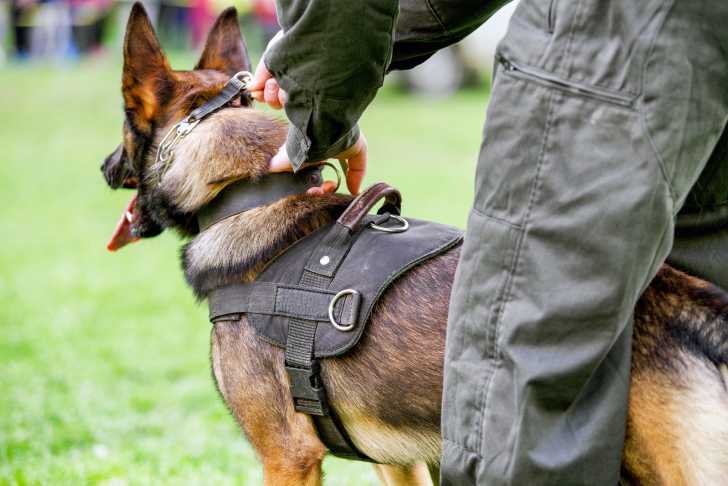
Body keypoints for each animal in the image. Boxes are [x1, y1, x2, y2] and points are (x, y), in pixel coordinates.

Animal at [101, 2, 728, 482]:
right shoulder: (395, 461)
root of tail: (688, 305)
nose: (105, 168)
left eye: (123, 125)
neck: (250, 195)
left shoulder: (287, 456)